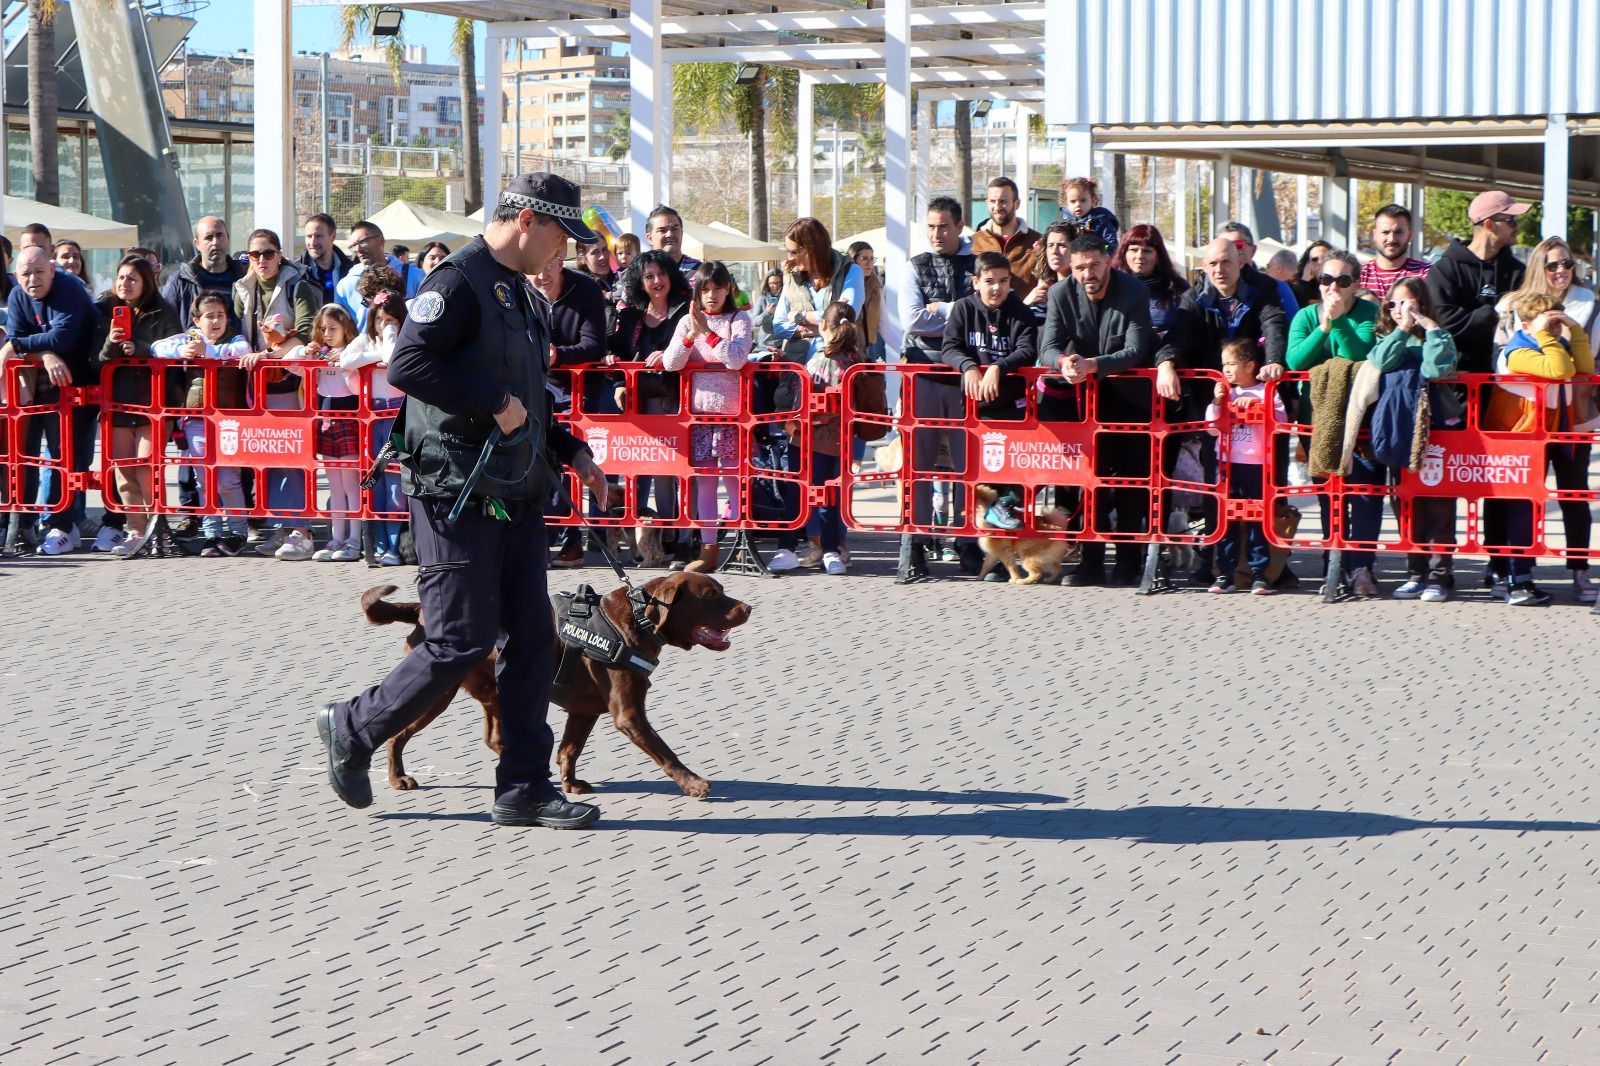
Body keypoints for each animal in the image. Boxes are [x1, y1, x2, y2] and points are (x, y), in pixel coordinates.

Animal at [366, 573, 752, 797]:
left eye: (722, 590)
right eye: (710, 595)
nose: (747, 607)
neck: (638, 619)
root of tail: (419, 610)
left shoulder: (584, 711)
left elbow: (569, 749)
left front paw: (571, 783)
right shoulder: (628, 714)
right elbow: (665, 751)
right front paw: (693, 783)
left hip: (494, 690)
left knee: (494, 736)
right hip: (438, 694)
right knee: (396, 734)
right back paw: (398, 777)